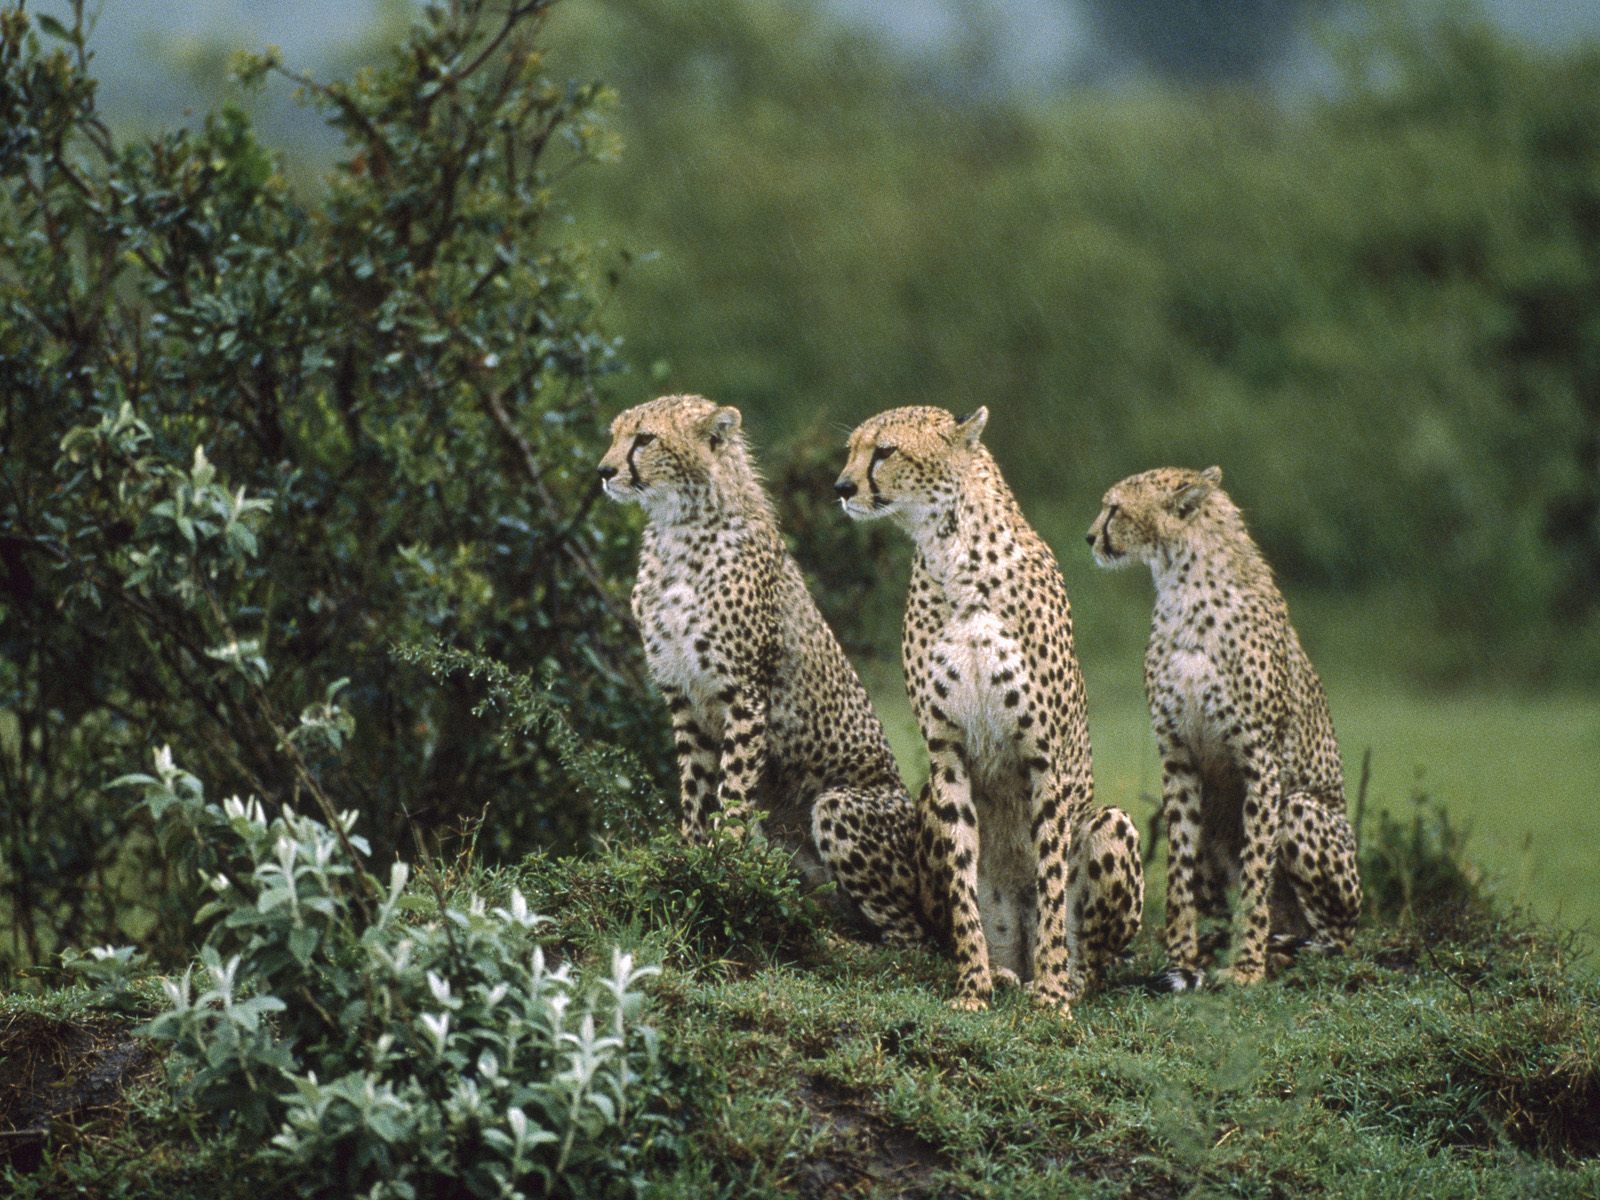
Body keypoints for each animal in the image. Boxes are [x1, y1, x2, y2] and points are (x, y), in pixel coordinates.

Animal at [599, 393, 924, 943]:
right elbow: (695, 788)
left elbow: (731, 791)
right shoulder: (683, 697)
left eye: (644, 439)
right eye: (615, 436)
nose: (603, 470)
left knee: (911, 938)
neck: (678, 528)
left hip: (839, 805)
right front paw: (689, 858)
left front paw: (720, 866)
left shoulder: (745, 695)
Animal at [836, 405, 1143, 1015]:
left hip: (1111, 822)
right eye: (852, 449)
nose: (842, 487)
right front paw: (972, 988)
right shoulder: (946, 753)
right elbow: (962, 881)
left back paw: (1062, 980)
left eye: (884, 451)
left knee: (1094, 958)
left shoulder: (1044, 757)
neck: (954, 555)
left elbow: (1050, 880)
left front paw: (1052, 997)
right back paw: (1001, 975)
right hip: (921, 799)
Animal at [1087, 465, 1362, 991]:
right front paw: (1181, 957)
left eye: (1114, 508)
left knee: (1333, 940)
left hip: (1303, 813)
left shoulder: (1260, 761)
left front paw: (1246, 967)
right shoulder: (1177, 756)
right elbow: (1180, 867)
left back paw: (1278, 949)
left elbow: (1256, 871)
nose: (1090, 536)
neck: (1183, 586)